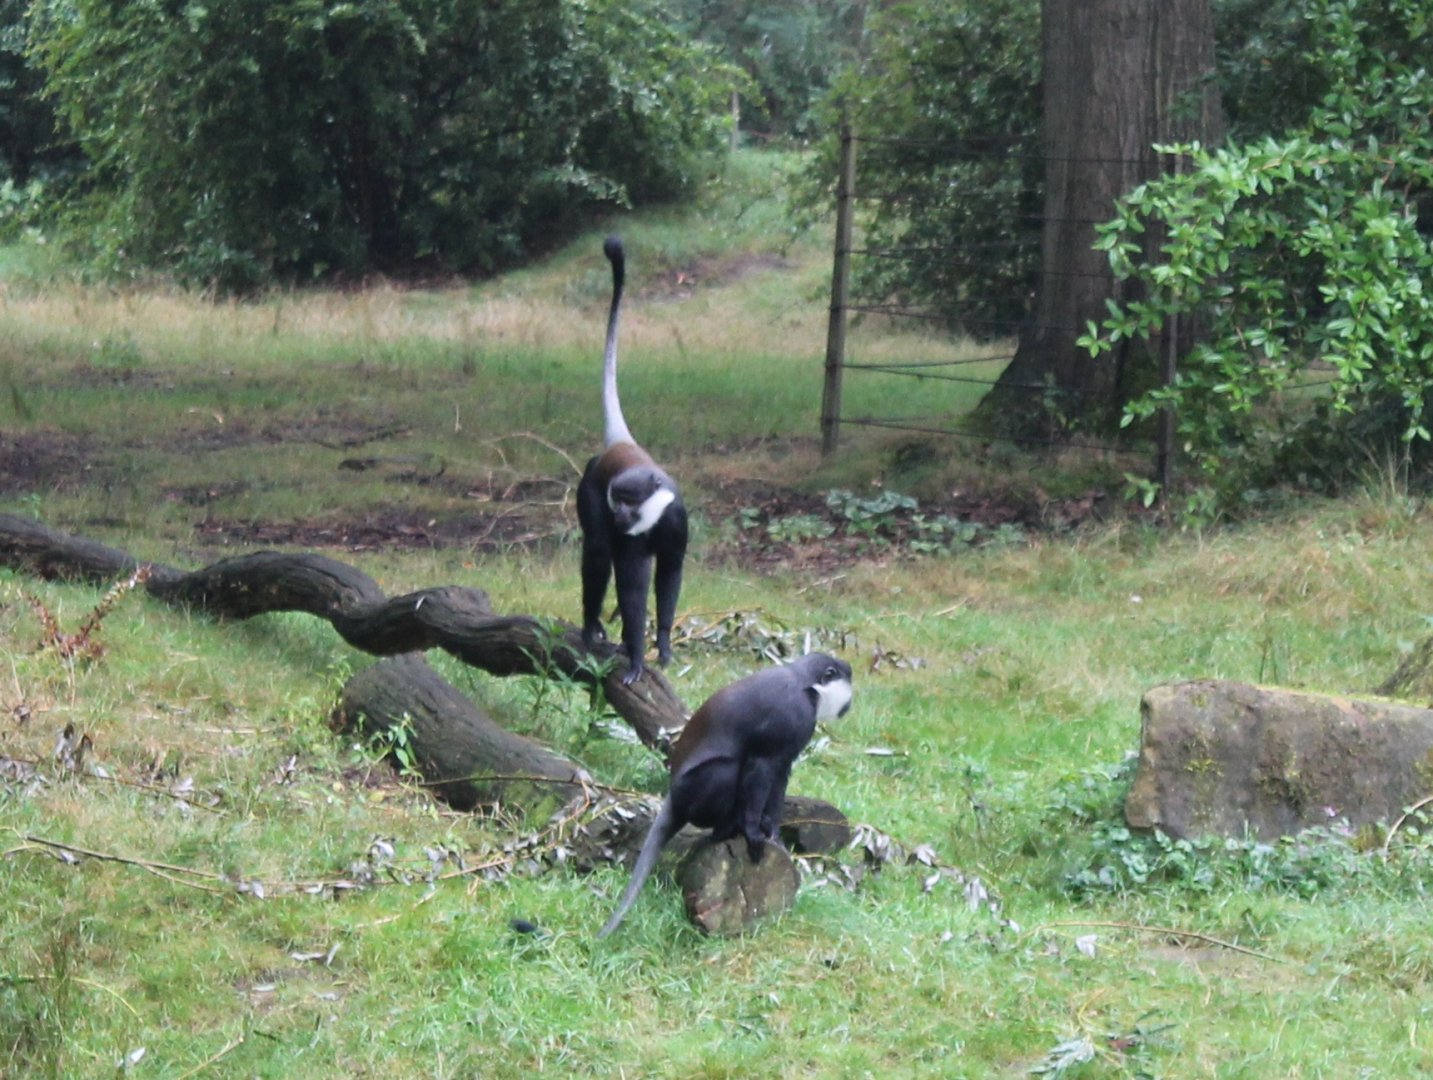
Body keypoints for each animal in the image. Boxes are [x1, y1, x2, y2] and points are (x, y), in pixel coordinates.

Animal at [597, 652, 854, 938]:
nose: (850, 702)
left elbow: (780, 775)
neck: (804, 681)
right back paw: (727, 830)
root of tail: (673, 797)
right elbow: (761, 765)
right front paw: (753, 832)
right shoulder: (792, 715)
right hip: (695, 794)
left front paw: (774, 834)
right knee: (729, 770)